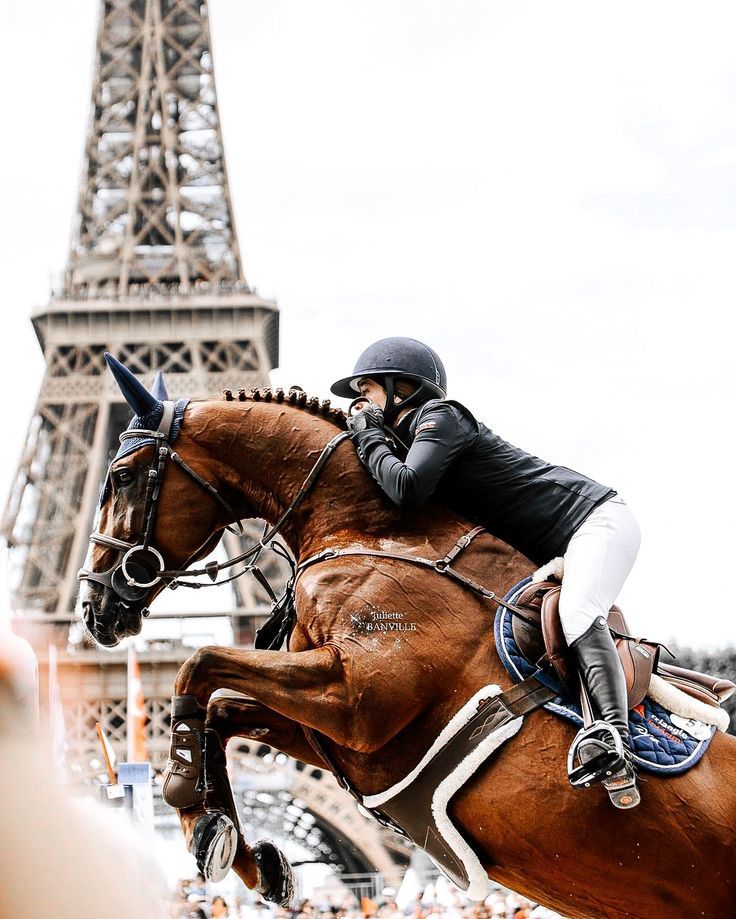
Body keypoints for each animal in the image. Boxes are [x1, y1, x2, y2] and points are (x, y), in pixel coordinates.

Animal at [80, 380, 736, 919]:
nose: (94, 606)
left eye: (124, 476)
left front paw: (190, 801)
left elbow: (198, 665)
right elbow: (220, 708)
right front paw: (237, 849)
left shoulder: (360, 700)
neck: (369, 530)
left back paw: (605, 752)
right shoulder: (343, 740)